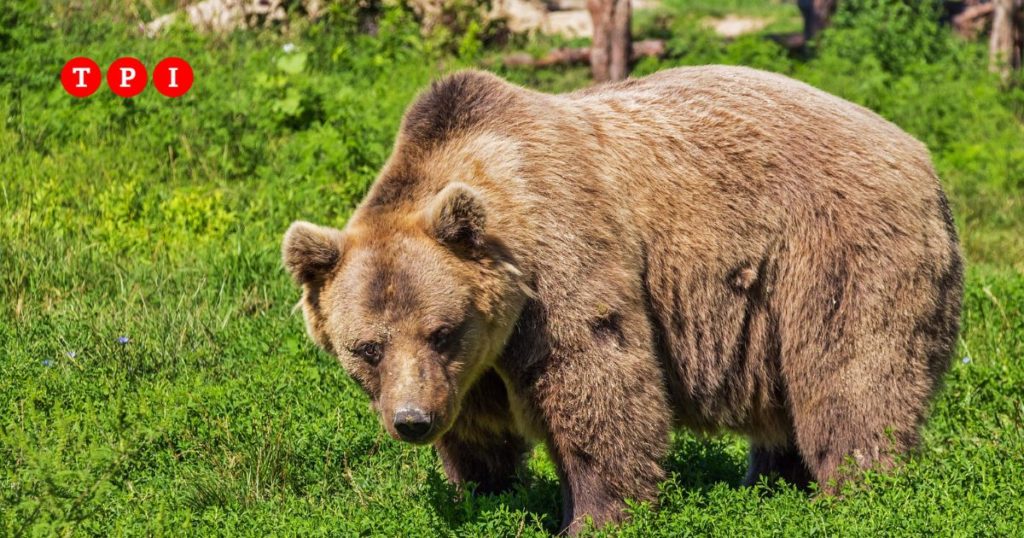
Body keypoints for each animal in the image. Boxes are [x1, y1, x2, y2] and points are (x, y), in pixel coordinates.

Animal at [280, 67, 958, 532]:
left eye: (441, 331)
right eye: (367, 348)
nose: (412, 420)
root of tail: (920, 153)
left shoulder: (562, 264)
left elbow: (598, 382)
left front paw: (595, 514)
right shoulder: (473, 368)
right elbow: (479, 432)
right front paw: (485, 492)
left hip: (836, 251)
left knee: (851, 377)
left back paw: (861, 491)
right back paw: (770, 485)